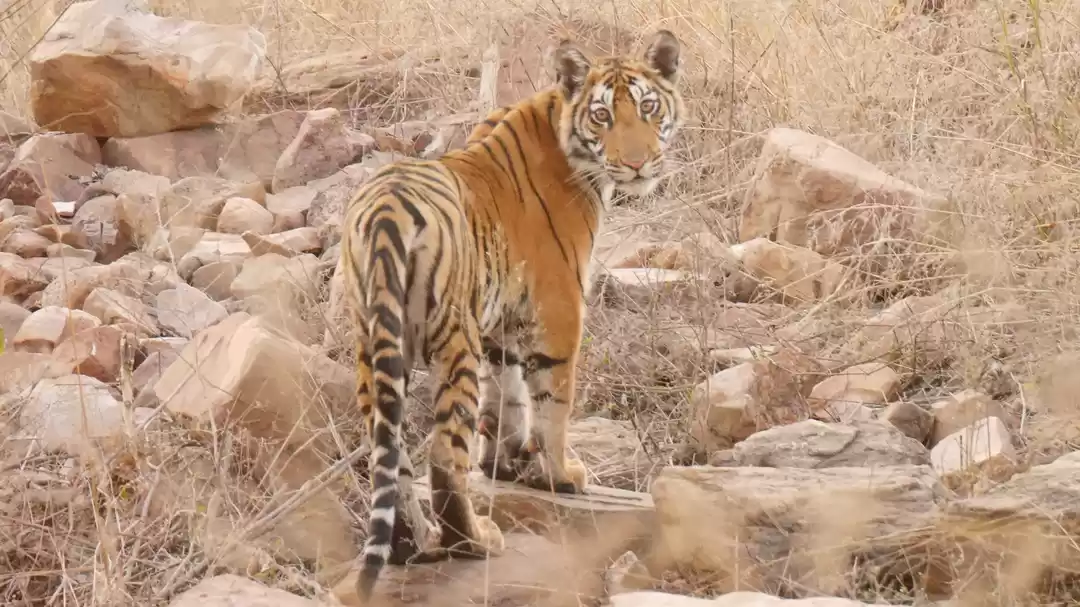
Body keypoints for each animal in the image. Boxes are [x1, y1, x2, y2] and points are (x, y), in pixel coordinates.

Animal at [338, 29, 686, 602]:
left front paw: (505, 465)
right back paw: (473, 541)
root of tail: (386, 209)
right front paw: (560, 475)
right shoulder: (560, 308)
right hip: (452, 338)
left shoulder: (502, 323)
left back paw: (417, 546)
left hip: (373, 344)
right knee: (442, 456)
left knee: (386, 454)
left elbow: (507, 396)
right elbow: (553, 402)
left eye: (647, 107)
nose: (638, 163)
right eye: (602, 116)